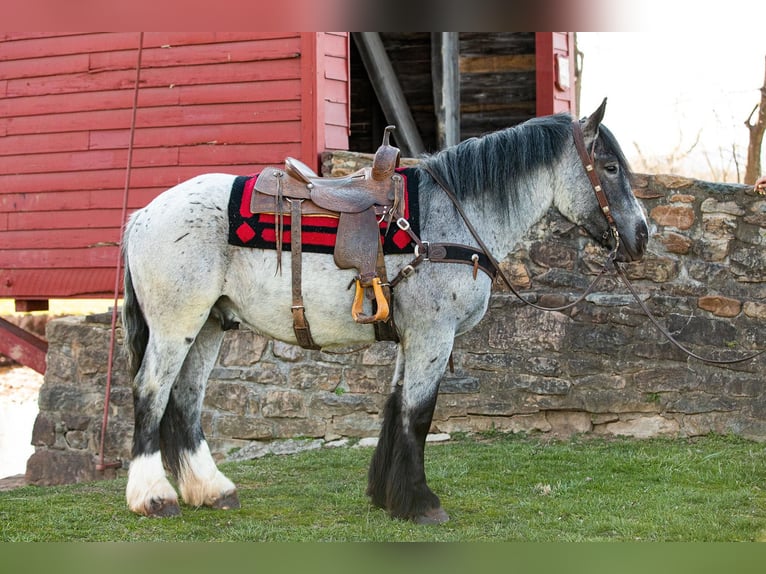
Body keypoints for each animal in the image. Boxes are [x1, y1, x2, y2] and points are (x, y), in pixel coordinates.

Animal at [120, 100, 648, 528]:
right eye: (609, 167)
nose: (643, 234)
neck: (449, 219)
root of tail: (143, 215)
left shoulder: (411, 338)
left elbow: (396, 408)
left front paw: (387, 496)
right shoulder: (434, 336)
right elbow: (419, 414)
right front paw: (421, 503)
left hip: (208, 325)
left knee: (185, 400)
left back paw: (211, 490)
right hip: (176, 325)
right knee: (150, 392)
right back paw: (153, 497)